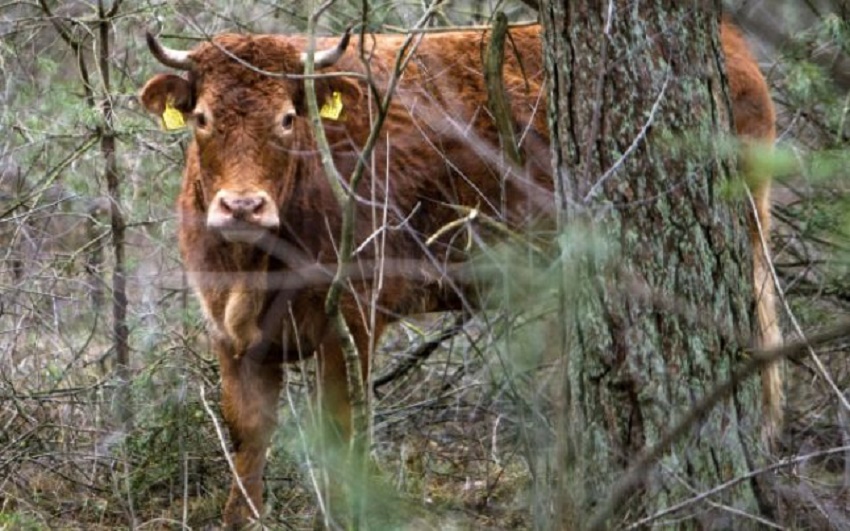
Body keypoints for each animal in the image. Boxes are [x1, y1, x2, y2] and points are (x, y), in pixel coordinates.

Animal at [140, 19, 779, 526]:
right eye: (202, 118)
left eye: (289, 118)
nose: (242, 207)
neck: (254, 265)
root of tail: (732, 44)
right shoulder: (231, 337)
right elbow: (247, 440)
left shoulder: (352, 320)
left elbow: (342, 431)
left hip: (746, 240)